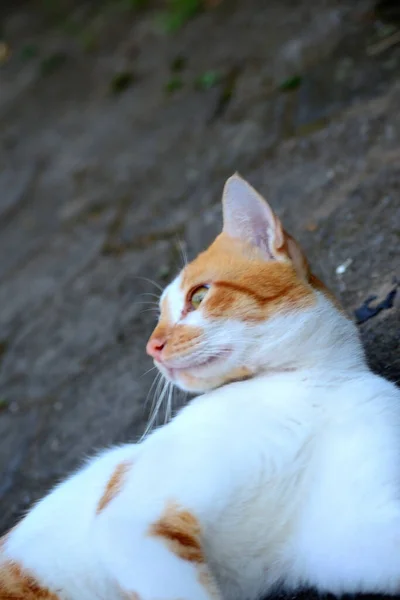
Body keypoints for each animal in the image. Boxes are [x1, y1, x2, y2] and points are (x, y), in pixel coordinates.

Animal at [0, 173, 400, 600]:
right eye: (159, 317)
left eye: (199, 296)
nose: (152, 346)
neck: (307, 383)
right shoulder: (132, 519)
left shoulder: (337, 534)